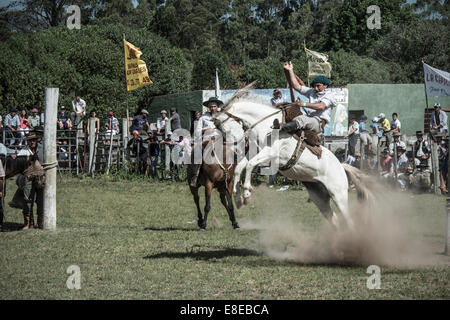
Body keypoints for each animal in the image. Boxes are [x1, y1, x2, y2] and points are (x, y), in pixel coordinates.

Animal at [213, 99, 368, 229]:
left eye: (222, 127)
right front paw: (238, 198)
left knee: (348, 220)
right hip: (320, 198)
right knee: (334, 219)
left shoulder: (270, 153)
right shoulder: (253, 152)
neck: (268, 126)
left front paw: (246, 193)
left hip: (338, 195)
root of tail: (341, 166)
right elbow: (240, 168)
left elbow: (250, 165)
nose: (227, 145)